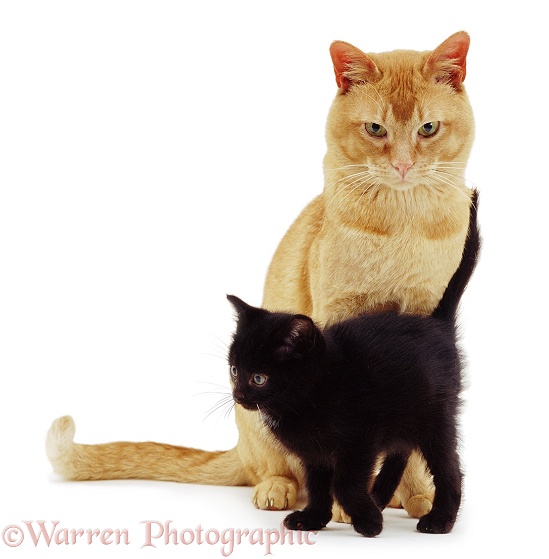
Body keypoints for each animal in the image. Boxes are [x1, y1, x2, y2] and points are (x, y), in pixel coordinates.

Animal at [227, 192, 480, 540]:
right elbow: (318, 486)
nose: (238, 396)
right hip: (404, 413)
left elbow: (344, 482)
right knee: (400, 452)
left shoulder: (360, 441)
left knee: (449, 468)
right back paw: (379, 496)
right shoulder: (315, 453)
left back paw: (437, 520)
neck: (313, 390)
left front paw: (369, 523)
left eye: (260, 378)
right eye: (235, 370)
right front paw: (313, 518)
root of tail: (438, 324)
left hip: (435, 416)